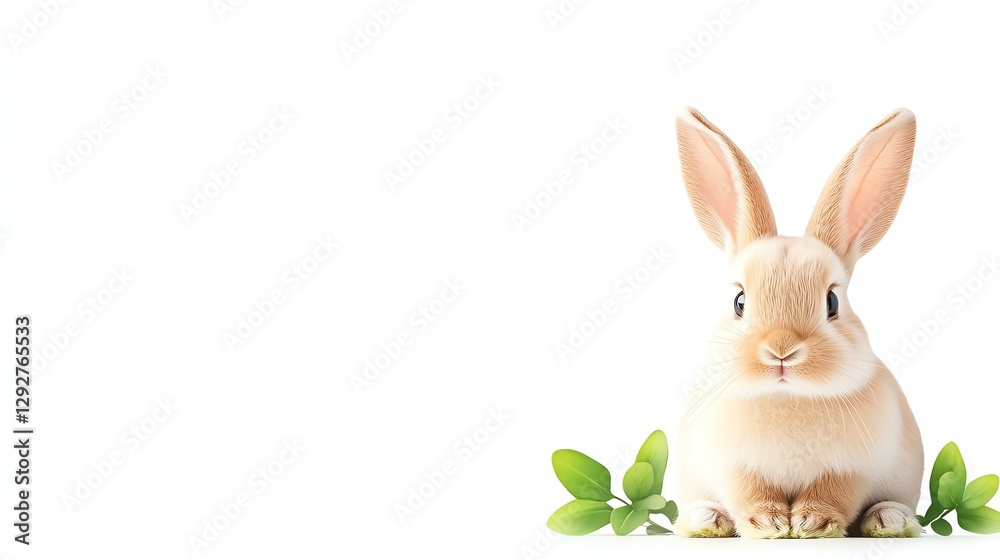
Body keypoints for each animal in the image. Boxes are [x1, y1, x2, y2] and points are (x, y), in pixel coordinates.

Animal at [672, 108, 924, 538]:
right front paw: (769, 524)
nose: (781, 350)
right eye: (739, 302)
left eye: (832, 302)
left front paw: (811, 523)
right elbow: (749, 493)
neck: (788, 397)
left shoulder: (850, 469)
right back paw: (705, 519)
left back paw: (889, 519)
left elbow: (833, 493)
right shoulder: (734, 468)